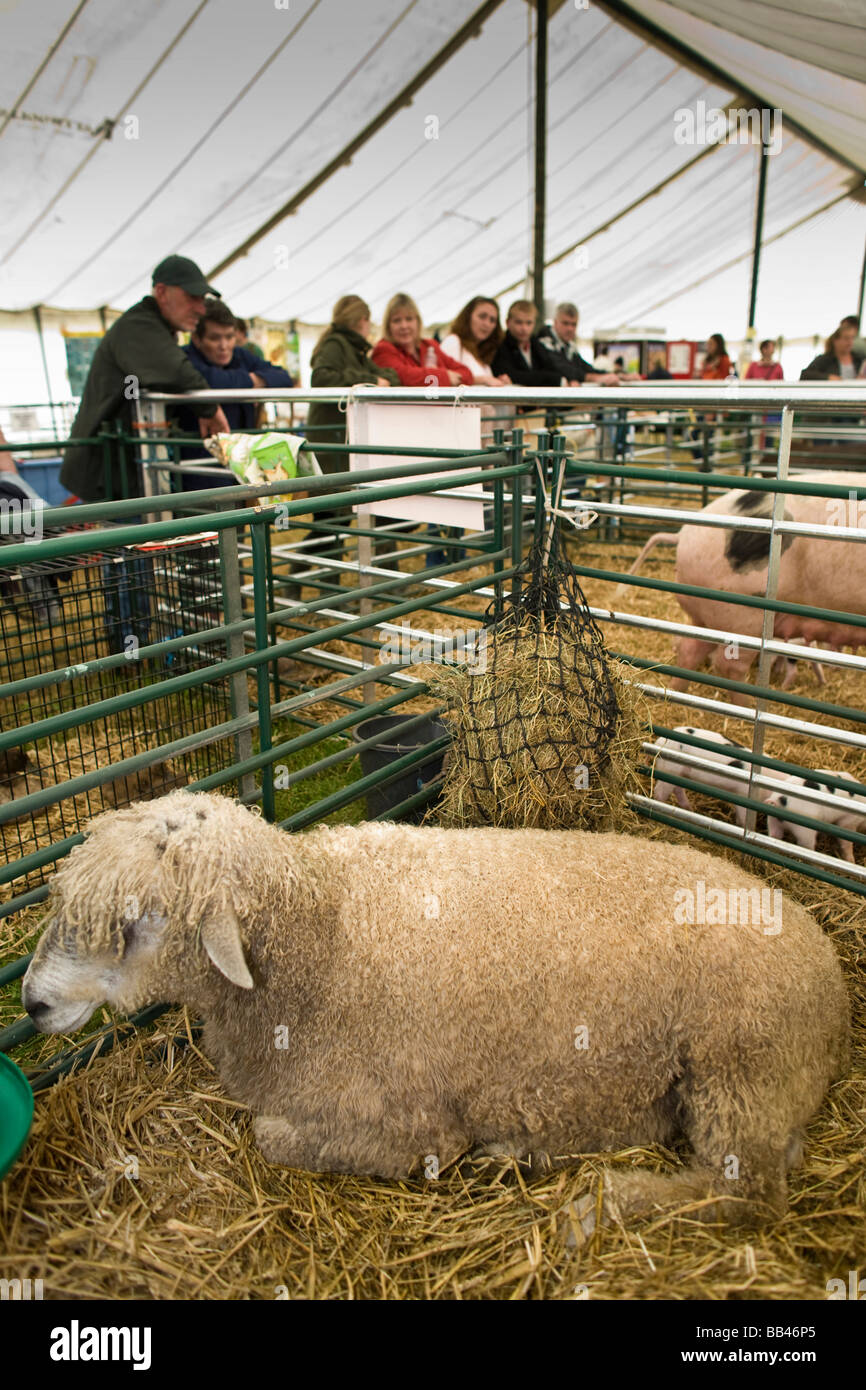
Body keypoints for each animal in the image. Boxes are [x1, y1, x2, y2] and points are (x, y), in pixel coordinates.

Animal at [23, 795, 850, 1228]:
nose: (31, 1003)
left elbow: (271, 1137)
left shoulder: (410, 1129)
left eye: (140, 919)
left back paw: (607, 1200)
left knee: (748, 1194)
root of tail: (825, 958)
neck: (323, 933)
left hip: (741, 1064)